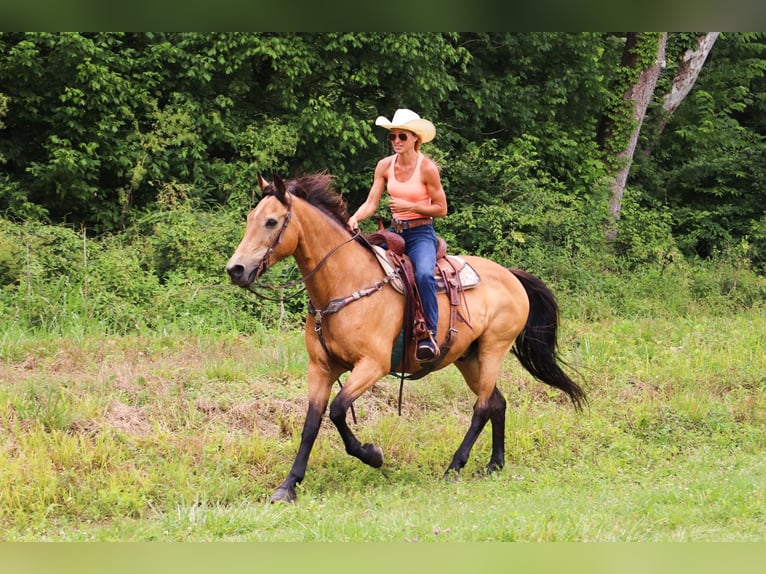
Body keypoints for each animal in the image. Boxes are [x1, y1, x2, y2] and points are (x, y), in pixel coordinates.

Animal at [228, 172, 588, 504]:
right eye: (249, 219)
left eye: (272, 221)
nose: (236, 269)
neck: (344, 283)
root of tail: (511, 275)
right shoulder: (321, 368)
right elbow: (311, 424)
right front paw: (288, 485)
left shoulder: (373, 365)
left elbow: (338, 410)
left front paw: (373, 455)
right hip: (468, 357)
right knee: (497, 403)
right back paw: (494, 464)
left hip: (492, 350)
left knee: (483, 407)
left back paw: (454, 467)